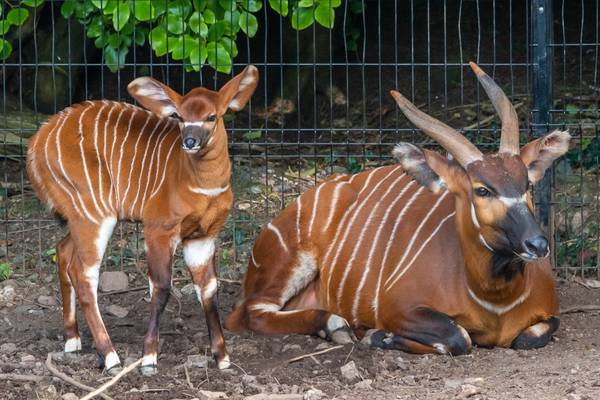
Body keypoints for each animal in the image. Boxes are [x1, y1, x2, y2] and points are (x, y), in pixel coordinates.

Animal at [26, 65, 258, 376]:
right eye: (179, 116)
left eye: (212, 116)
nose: (190, 141)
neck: (202, 186)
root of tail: (36, 142)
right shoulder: (159, 229)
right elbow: (160, 288)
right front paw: (149, 358)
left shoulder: (203, 235)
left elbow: (209, 289)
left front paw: (222, 357)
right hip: (94, 214)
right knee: (83, 274)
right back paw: (110, 356)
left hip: (81, 216)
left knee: (63, 252)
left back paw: (72, 340)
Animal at [225, 63, 568, 356]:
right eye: (482, 189)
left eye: (526, 184)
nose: (537, 245)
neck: (495, 300)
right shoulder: (398, 307)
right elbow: (459, 337)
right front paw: (379, 335)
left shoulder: (549, 316)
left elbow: (528, 338)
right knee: (247, 314)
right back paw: (335, 325)